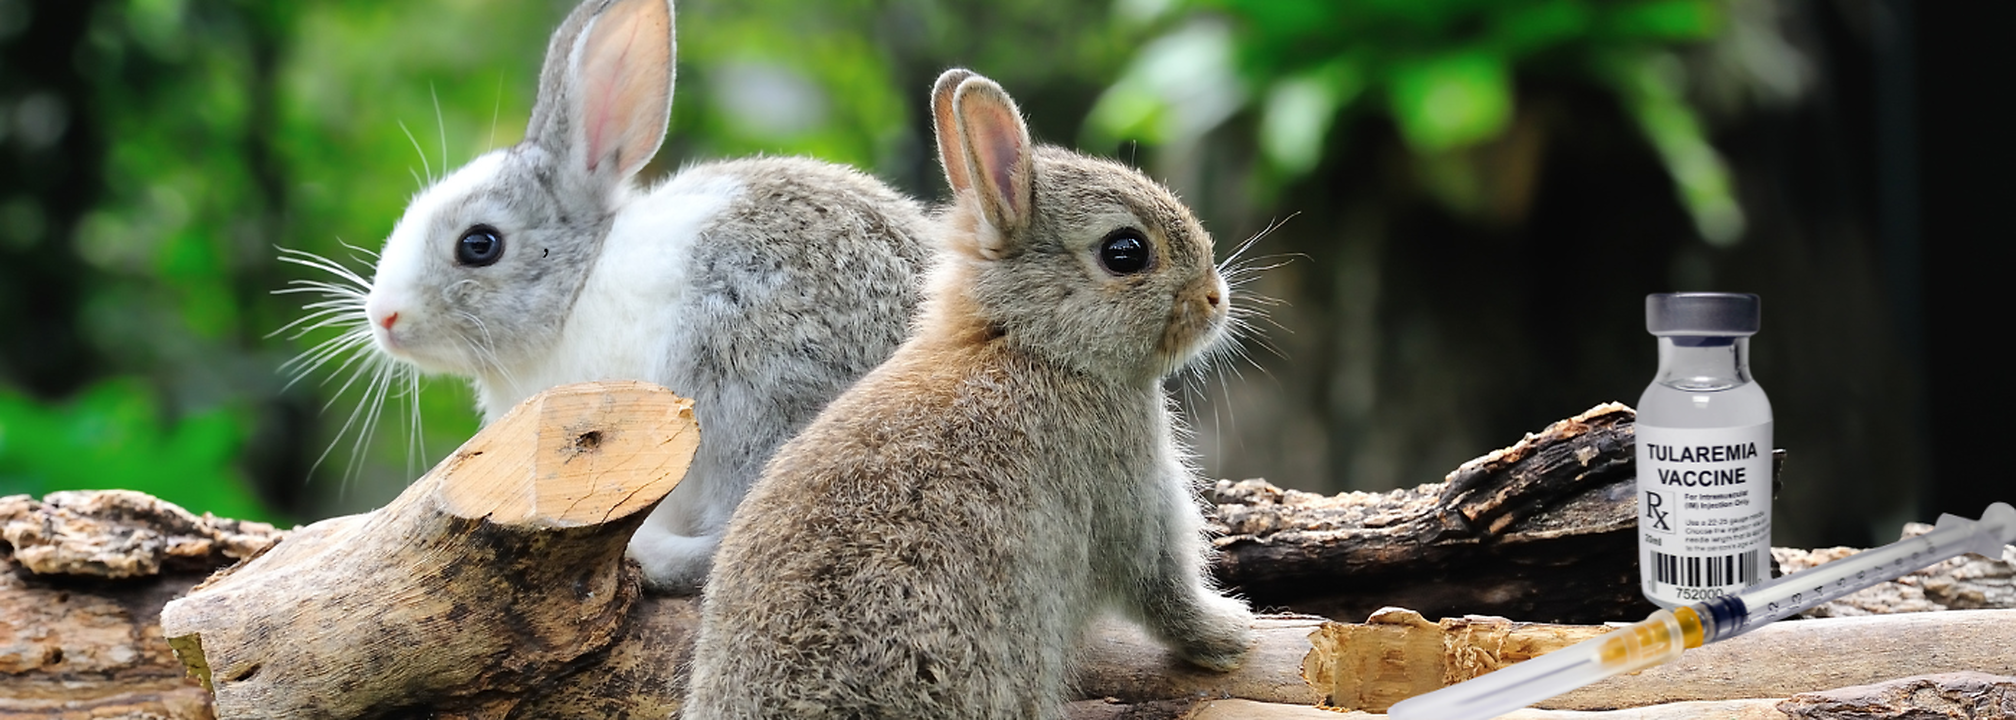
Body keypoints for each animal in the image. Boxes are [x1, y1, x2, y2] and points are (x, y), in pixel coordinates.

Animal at [680, 69, 1256, 720]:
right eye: (1125, 252)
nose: (1215, 297)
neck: (1029, 343)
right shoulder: (1131, 494)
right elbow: (1162, 586)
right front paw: (1232, 635)